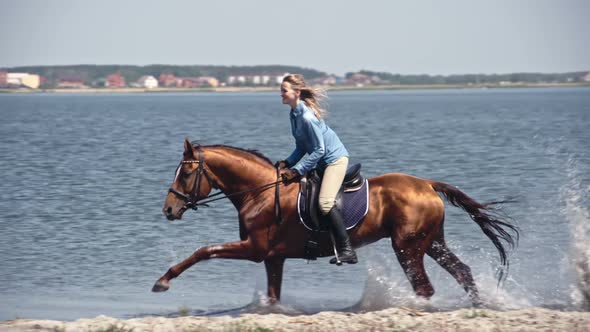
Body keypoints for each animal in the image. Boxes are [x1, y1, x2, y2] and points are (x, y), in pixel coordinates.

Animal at [155, 139, 520, 304]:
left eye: (185, 173)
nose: (168, 210)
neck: (259, 192)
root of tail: (427, 184)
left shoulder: (255, 249)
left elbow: (203, 251)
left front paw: (163, 281)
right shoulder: (273, 258)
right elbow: (273, 296)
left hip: (407, 247)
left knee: (424, 287)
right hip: (432, 243)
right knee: (462, 272)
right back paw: (477, 306)